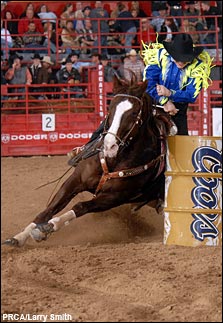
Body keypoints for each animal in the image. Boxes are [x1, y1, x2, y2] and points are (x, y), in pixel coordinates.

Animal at [3, 76, 172, 248]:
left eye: (133, 113)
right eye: (110, 108)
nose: (109, 145)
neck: (114, 159)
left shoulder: (115, 197)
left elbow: (80, 206)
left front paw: (49, 227)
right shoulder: (75, 181)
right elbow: (49, 209)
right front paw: (20, 236)